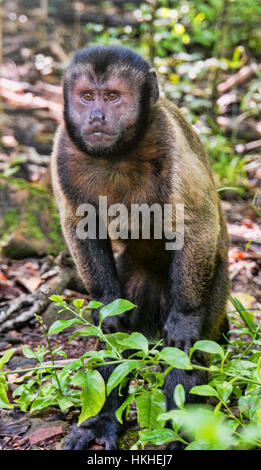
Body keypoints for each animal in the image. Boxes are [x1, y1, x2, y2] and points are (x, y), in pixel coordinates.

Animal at [50, 46, 228, 450]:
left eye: (113, 97)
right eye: (88, 96)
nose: (97, 116)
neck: (118, 152)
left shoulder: (170, 137)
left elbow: (197, 224)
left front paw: (186, 317)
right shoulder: (62, 146)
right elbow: (80, 229)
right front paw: (105, 307)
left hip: (218, 284)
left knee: (189, 350)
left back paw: (181, 438)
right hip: (134, 281)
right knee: (118, 336)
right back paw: (100, 422)